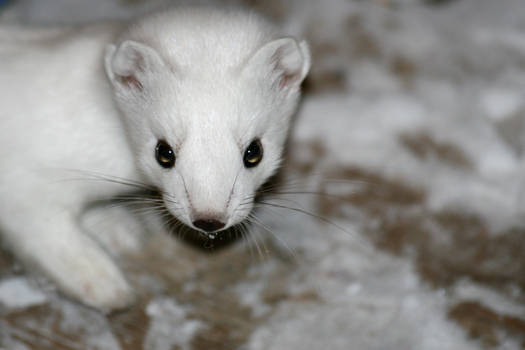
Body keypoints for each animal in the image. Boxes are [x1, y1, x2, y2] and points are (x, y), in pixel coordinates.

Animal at [0, 7, 312, 312]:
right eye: (163, 152)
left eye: (254, 151)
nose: (209, 219)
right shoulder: (22, 181)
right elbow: (47, 234)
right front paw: (103, 283)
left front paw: (114, 226)